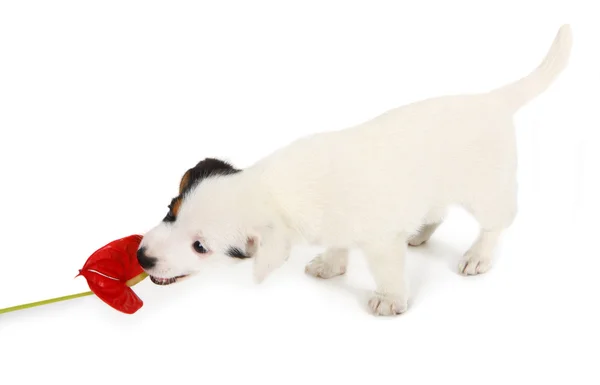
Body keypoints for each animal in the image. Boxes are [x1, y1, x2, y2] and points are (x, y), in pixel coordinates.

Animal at [137, 25, 572, 316]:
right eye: (170, 212)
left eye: (201, 246)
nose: (141, 257)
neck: (275, 188)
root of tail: (492, 100)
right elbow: (337, 244)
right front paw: (332, 264)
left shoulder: (380, 243)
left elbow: (388, 270)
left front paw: (391, 298)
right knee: (435, 212)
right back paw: (419, 233)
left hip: (487, 192)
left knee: (496, 224)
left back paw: (478, 255)